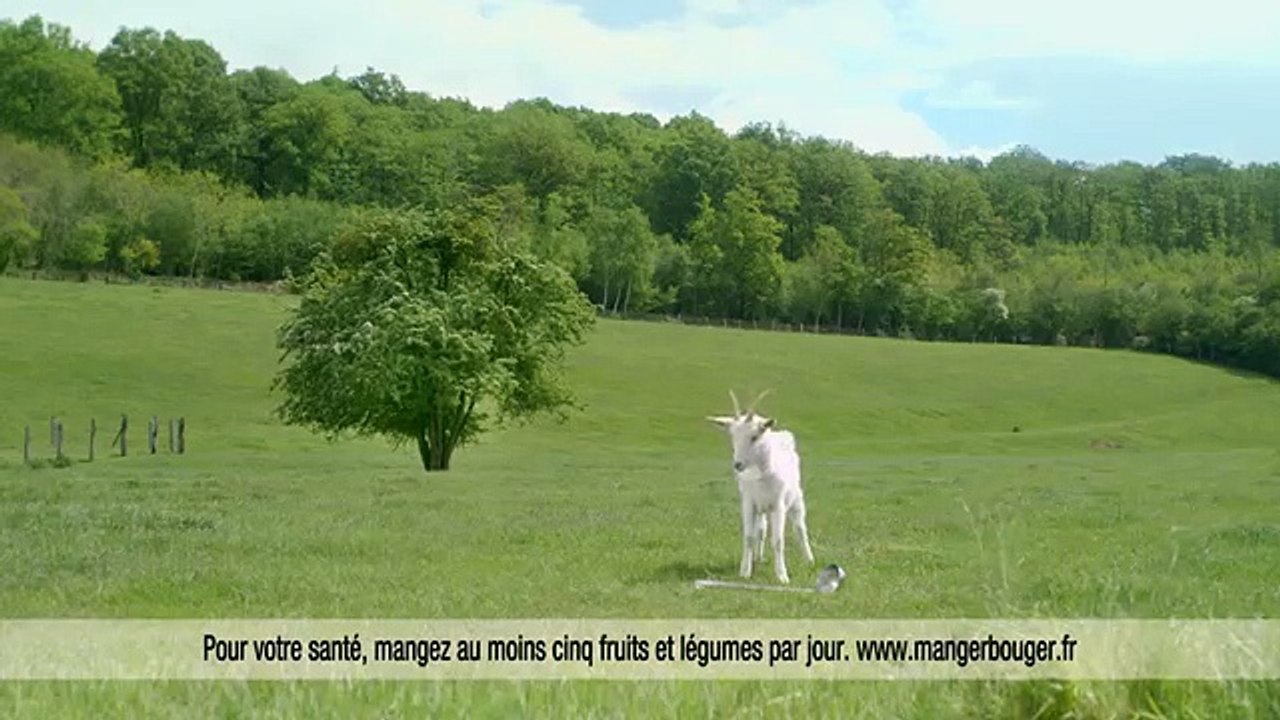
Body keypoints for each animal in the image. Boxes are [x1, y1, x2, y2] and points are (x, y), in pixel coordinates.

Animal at [706, 389, 815, 584]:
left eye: (754, 436)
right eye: (732, 437)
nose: (738, 464)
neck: (761, 476)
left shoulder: (778, 505)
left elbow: (778, 540)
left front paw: (782, 576)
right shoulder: (749, 503)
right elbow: (749, 537)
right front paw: (745, 571)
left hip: (796, 500)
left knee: (800, 528)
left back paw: (809, 560)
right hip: (762, 509)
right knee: (762, 530)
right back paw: (758, 557)